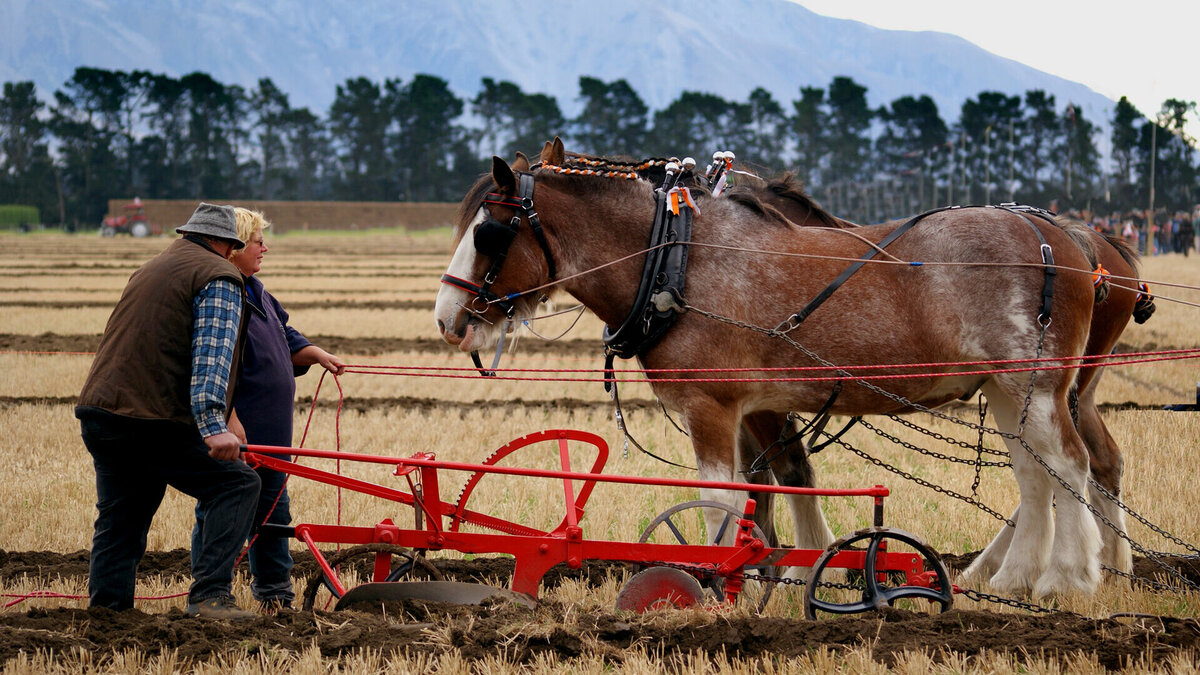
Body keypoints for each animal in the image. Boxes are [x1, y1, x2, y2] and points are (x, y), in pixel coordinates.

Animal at [439, 141, 1104, 593]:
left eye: (490, 233)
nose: (448, 319)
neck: (677, 261)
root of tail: (1059, 235)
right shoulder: (752, 407)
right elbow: (766, 489)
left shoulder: (712, 405)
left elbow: (721, 501)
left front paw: (713, 582)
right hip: (1009, 392)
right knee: (1036, 476)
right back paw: (1015, 578)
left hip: (1036, 384)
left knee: (1069, 465)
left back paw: (1067, 579)